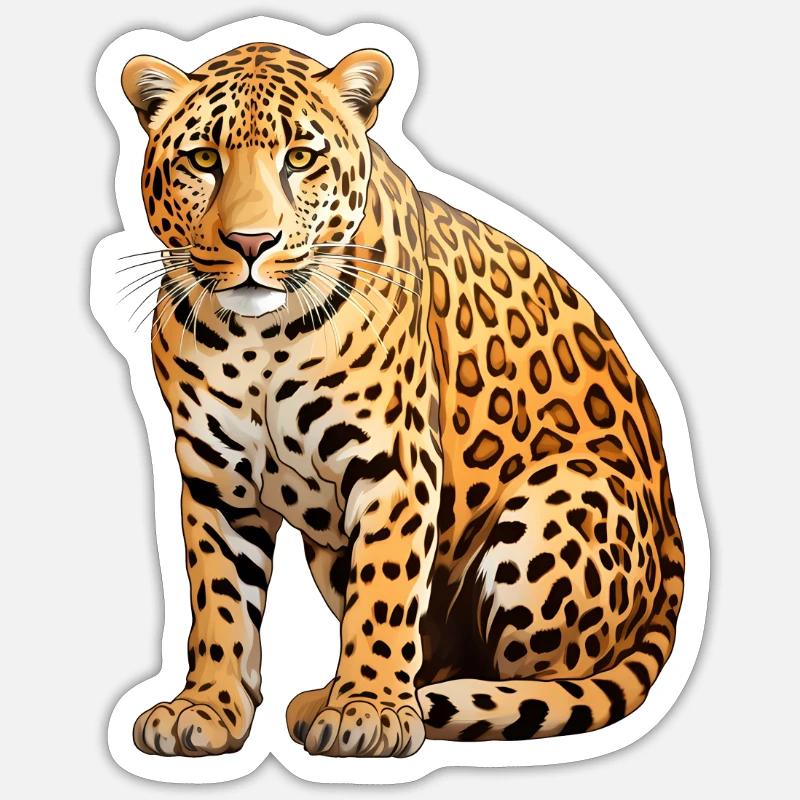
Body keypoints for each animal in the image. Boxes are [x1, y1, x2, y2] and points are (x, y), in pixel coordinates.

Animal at [119, 41, 685, 758]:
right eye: (202, 159)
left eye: (299, 158)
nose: (252, 242)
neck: (259, 341)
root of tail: (675, 542)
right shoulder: (218, 479)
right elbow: (219, 602)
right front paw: (208, 708)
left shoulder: (395, 463)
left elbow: (384, 596)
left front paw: (370, 712)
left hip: (561, 500)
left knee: (552, 681)